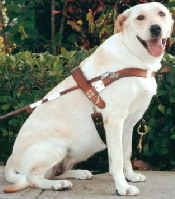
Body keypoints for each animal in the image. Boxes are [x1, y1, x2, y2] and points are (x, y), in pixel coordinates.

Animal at [3, 2, 173, 197]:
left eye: (162, 14)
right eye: (140, 18)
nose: (156, 28)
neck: (135, 58)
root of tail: (12, 159)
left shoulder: (128, 125)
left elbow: (126, 154)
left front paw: (129, 176)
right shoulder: (114, 121)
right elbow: (117, 159)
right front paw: (122, 187)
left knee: (55, 172)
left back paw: (78, 173)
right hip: (55, 148)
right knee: (33, 178)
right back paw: (58, 184)